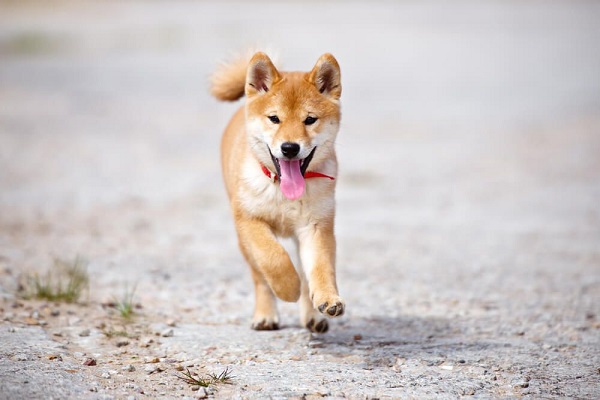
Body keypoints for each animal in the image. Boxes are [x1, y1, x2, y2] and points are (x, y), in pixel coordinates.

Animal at [211, 51, 344, 332]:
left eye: (309, 119)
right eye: (274, 118)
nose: (290, 148)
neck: (283, 192)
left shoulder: (317, 226)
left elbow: (320, 268)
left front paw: (328, 299)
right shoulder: (250, 221)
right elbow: (274, 258)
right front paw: (287, 288)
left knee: (304, 273)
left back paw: (313, 317)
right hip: (243, 240)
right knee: (259, 277)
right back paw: (265, 315)